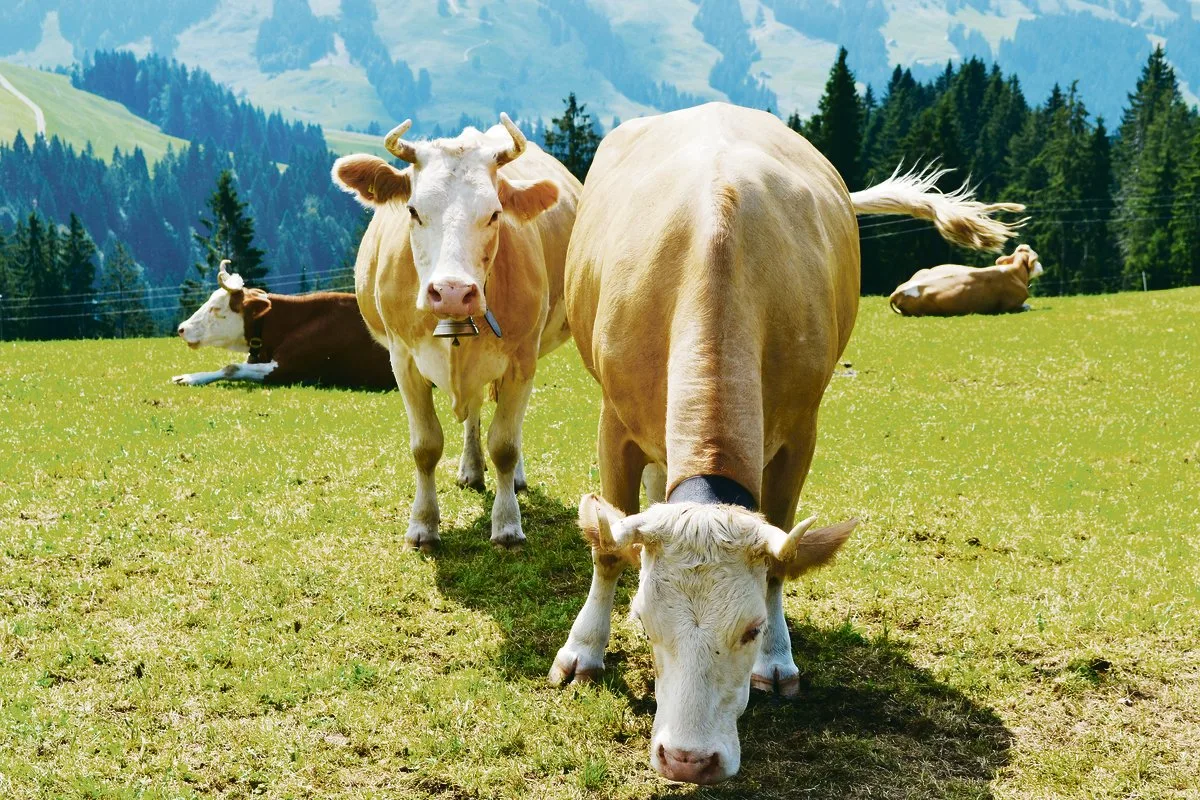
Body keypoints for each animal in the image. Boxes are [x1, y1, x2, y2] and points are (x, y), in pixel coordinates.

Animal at [330, 114, 580, 550]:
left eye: (495, 213)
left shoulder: (522, 358)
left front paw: (507, 523)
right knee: (474, 410)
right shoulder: (403, 360)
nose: (451, 292)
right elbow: (426, 446)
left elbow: (505, 443)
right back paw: (471, 468)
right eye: (413, 210)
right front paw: (423, 525)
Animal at [548, 103, 1024, 783]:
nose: (687, 760)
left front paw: (777, 659)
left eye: (748, 630)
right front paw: (584, 650)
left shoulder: (801, 430)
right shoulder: (614, 423)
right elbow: (610, 547)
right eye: (643, 620)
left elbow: (780, 554)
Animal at [889, 243, 1044, 316]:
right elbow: (1027, 306)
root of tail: (896, 292)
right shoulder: (1011, 307)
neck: (1015, 272)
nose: (1041, 267)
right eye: (1037, 258)